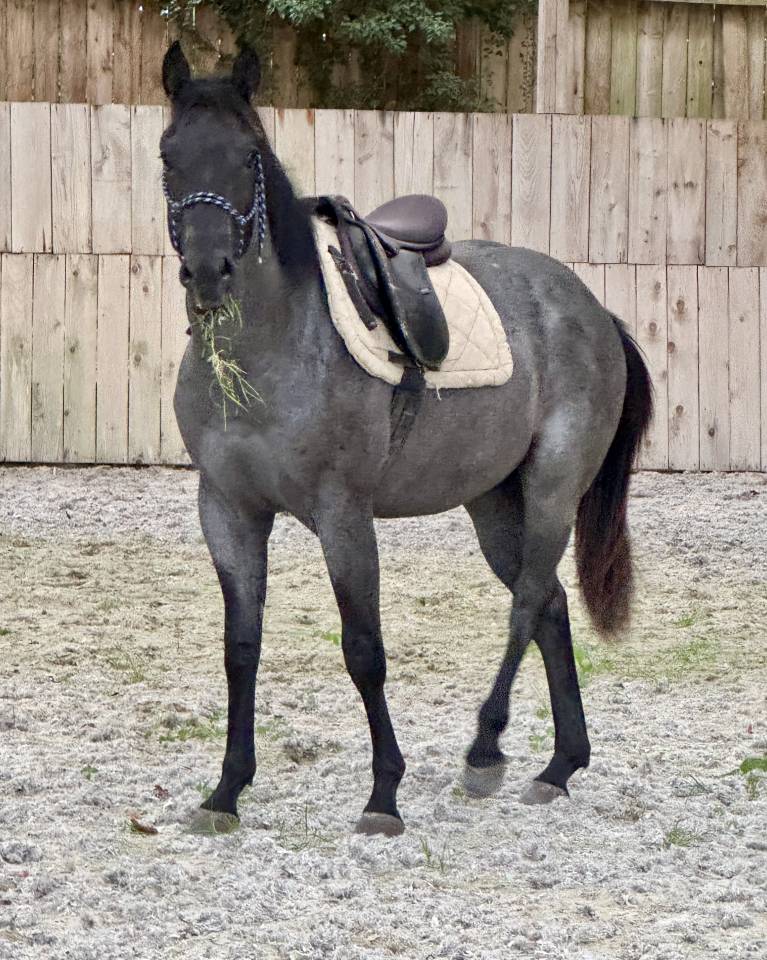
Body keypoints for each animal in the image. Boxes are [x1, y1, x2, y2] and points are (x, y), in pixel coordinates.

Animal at [160, 42, 653, 837]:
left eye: (248, 155)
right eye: (170, 155)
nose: (209, 272)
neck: (271, 348)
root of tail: (592, 309)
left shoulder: (342, 514)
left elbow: (364, 650)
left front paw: (383, 795)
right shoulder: (228, 511)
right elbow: (241, 648)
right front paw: (227, 790)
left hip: (552, 488)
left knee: (528, 601)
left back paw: (485, 750)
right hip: (492, 501)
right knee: (546, 602)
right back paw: (559, 765)